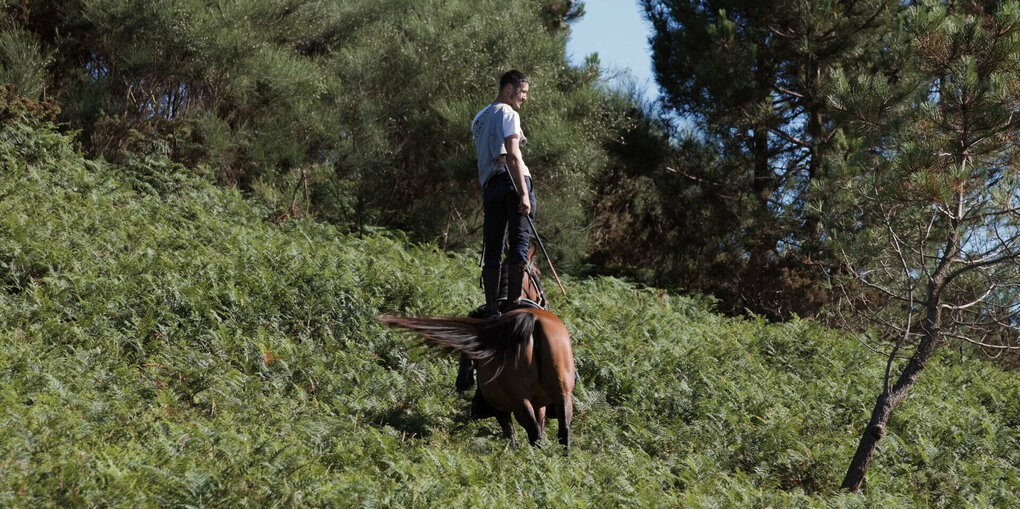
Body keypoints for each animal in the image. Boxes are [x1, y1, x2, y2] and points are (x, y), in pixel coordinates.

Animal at [379, 308, 579, 452]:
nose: (462, 382)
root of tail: (532, 320)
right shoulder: (539, 405)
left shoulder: (501, 408)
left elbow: (510, 431)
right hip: (561, 394)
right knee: (563, 428)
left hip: (519, 401)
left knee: (534, 431)